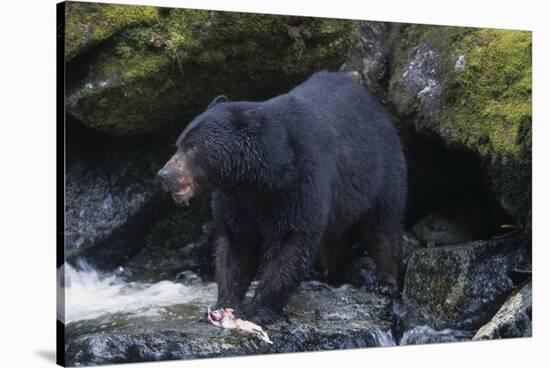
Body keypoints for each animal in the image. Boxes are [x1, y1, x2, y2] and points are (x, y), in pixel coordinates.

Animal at [157, 70, 408, 324]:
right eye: (178, 143)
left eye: (192, 147)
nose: (164, 175)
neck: (261, 178)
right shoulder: (235, 200)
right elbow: (235, 245)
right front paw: (225, 305)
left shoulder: (300, 182)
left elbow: (290, 243)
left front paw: (260, 310)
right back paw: (330, 274)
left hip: (381, 171)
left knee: (384, 224)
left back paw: (384, 281)